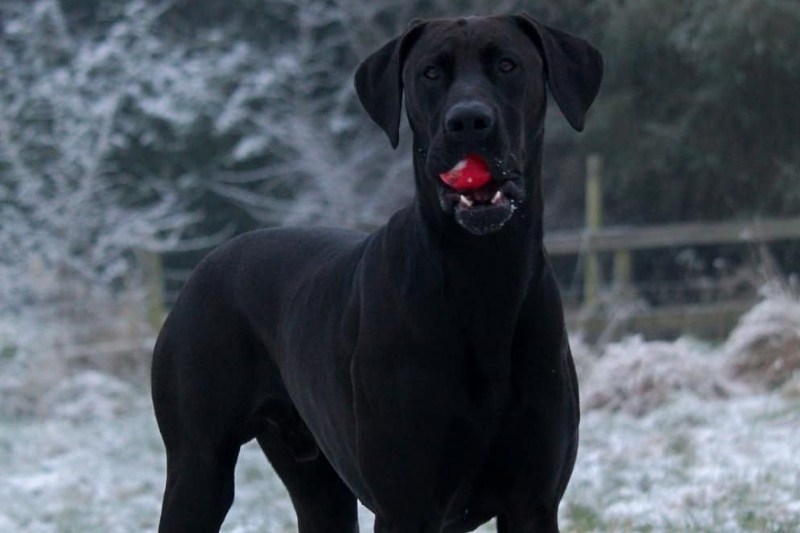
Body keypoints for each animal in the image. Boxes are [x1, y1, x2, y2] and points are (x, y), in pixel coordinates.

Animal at [152, 13, 600, 532]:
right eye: (430, 73)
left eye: (508, 64)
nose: (468, 121)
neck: (483, 274)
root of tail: (205, 264)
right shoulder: (406, 505)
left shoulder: (533, 502)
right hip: (198, 467)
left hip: (319, 486)